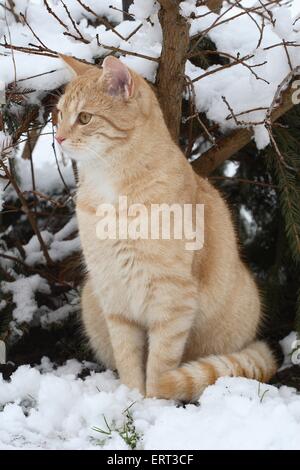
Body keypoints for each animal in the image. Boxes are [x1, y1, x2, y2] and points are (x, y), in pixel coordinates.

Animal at [55, 54, 280, 400]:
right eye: (59, 115)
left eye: (84, 118)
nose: (58, 137)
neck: (112, 190)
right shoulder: (115, 297)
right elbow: (128, 358)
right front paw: (131, 400)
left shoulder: (172, 299)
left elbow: (160, 363)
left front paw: (153, 403)